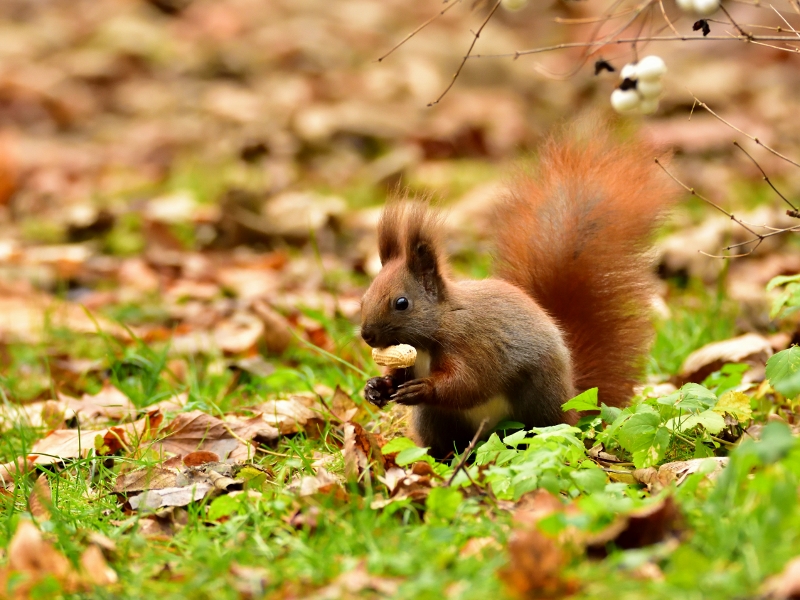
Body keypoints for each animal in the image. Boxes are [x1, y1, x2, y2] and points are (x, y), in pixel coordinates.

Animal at [360, 124, 680, 458]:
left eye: (402, 303)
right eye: (364, 297)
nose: (367, 335)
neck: (440, 326)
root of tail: (573, 400)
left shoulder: (475, 346)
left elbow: (468, 384)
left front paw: (423, 387)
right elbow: (400, 377)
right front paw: (376, 387)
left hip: (538, 401)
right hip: (436, 421)